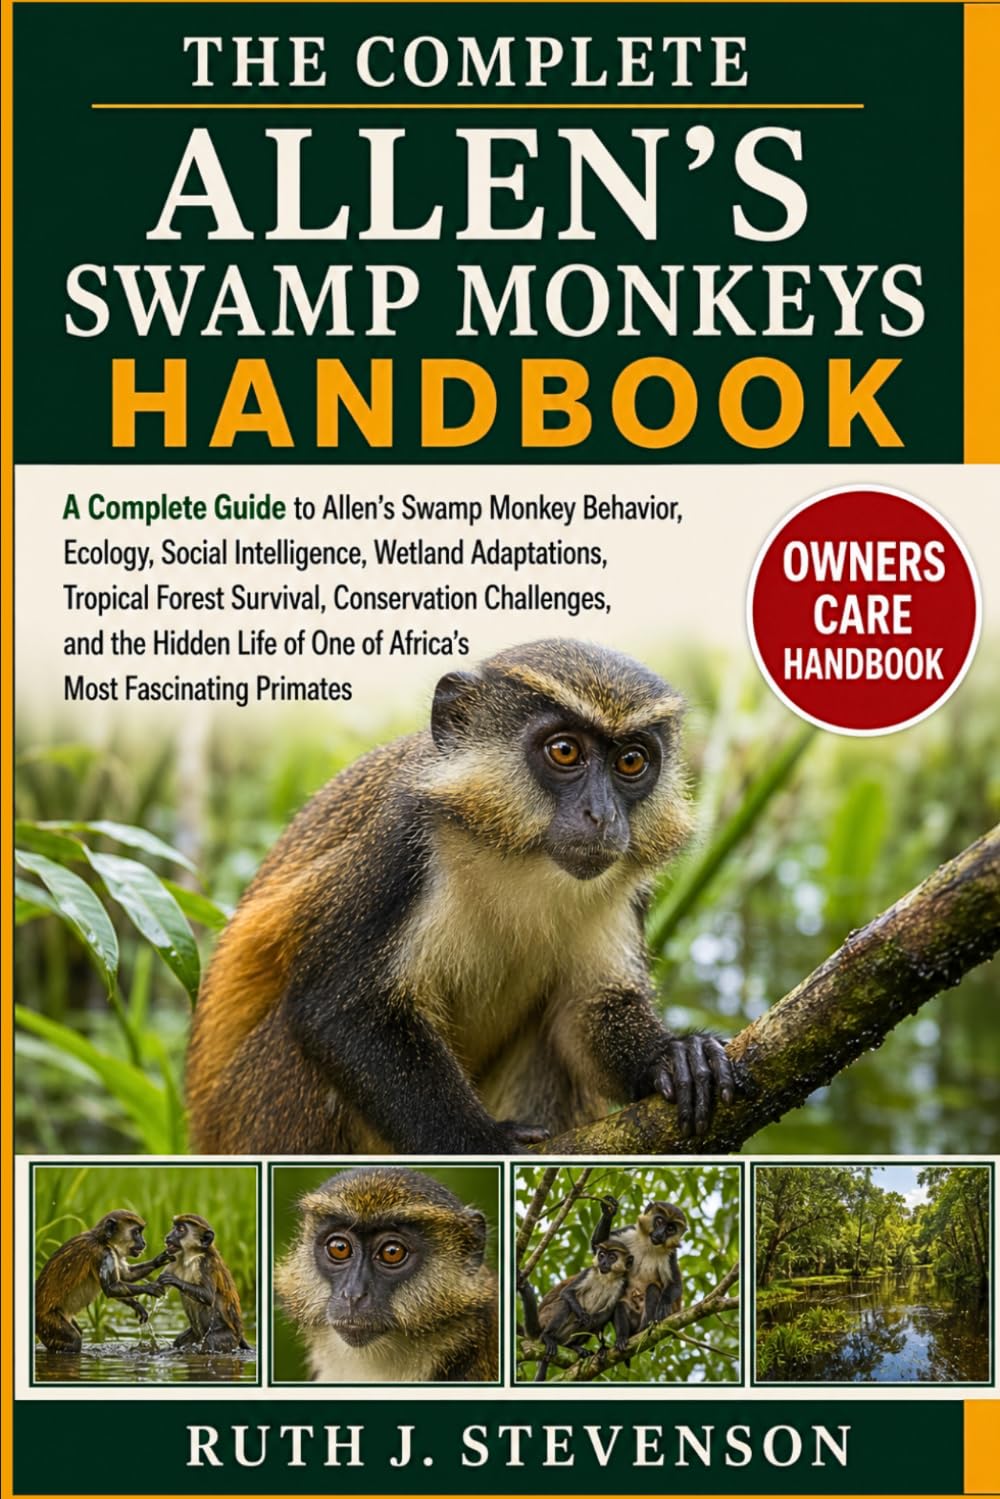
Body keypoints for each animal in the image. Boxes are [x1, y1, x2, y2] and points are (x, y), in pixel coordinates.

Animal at [34, 1210, 171, 1352]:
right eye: (136, 1232)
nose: (144, 1242)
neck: (101, 1240)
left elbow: (126, 1275)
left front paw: (158, 1261)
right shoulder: (104, 1253)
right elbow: (111, 1288)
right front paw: (150, 1288)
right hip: (46, 1320)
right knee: (74, 1340)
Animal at [154, 1214, 250, 1353]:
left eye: (181, 1229)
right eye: (174, 1227)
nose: (168, 1237)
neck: (191, 1256)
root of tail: (239, 1333)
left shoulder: (205, 1263)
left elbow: (208, 1296)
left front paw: (173, 1280)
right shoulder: (175, 1258)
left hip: (230, 1337)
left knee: (211, 1340)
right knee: (181, 1341)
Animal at [188, 639, 735, 1156]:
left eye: (631, 760)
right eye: (564, 751)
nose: (602, 816)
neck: (516, 858)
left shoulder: (624, 891)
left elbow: (585, 1010)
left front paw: (673, 1056)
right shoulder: (401, 846)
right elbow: (339, 1010)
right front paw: (483, 1145)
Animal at [519, 1239, 633, 1381]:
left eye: (612, 1257)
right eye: (601, 1255)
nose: (603, 1263)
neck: (606, 1278)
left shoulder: (621, 1283)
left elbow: (608, 1311)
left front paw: (604, 1345)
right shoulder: (589, 1272)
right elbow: (567, 1292)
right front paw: (583, 1316)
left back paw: (572, 1346)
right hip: (546, 1316)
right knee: (565, 1305)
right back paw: (547, 1336)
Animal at [592, 1194, 688, 1333]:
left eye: (670, 1229)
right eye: (659, 1221)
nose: (660, 1234)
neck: (648, 1245)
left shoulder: (670, 1255)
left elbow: (675, 1283)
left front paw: (664, 1304)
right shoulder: (630, 1232)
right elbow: (597, 1246)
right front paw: (609, 1212)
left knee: (653, 1289)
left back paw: (646, 1327)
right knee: (619, 1303)